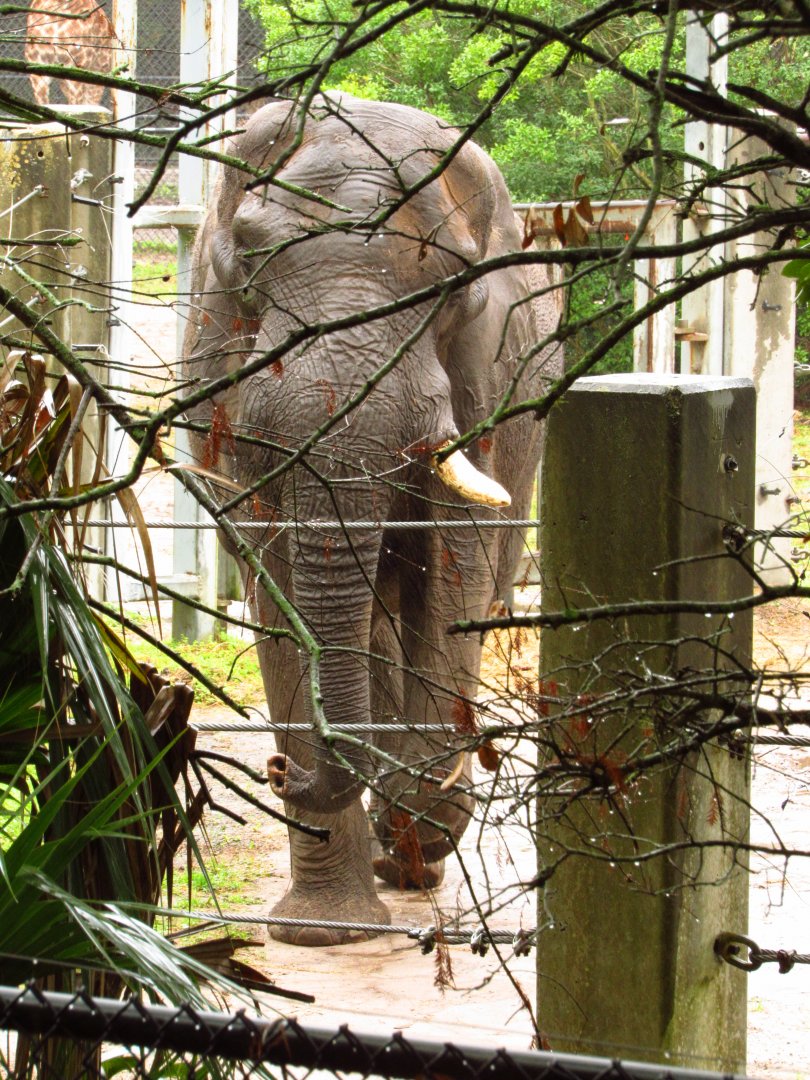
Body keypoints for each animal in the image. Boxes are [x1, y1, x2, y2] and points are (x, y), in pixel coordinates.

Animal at [183, 94, 562, 946]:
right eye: (248, 262)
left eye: (453, 286)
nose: (279, 770)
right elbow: (278, 586)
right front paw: (322, 933)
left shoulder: (485, 372)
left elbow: (454, 572)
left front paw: (419, 822)